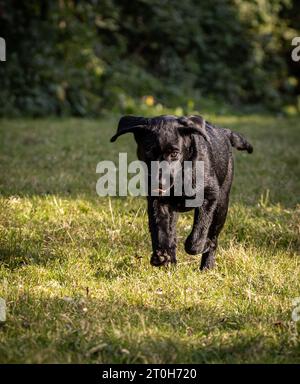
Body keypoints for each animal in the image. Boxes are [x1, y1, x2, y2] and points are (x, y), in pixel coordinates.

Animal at [110, 115, 253, 270]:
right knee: (171, 233)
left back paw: (207, 266)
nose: (159, 182)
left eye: (174, 153)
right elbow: (160, 230)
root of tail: (224, 132)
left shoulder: (209, 196)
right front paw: (161, 255)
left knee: (214, 236)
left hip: (221, 206)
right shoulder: (157, 202)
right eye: (148, 151)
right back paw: (171, 261)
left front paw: (203, 244)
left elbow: (198, 234)